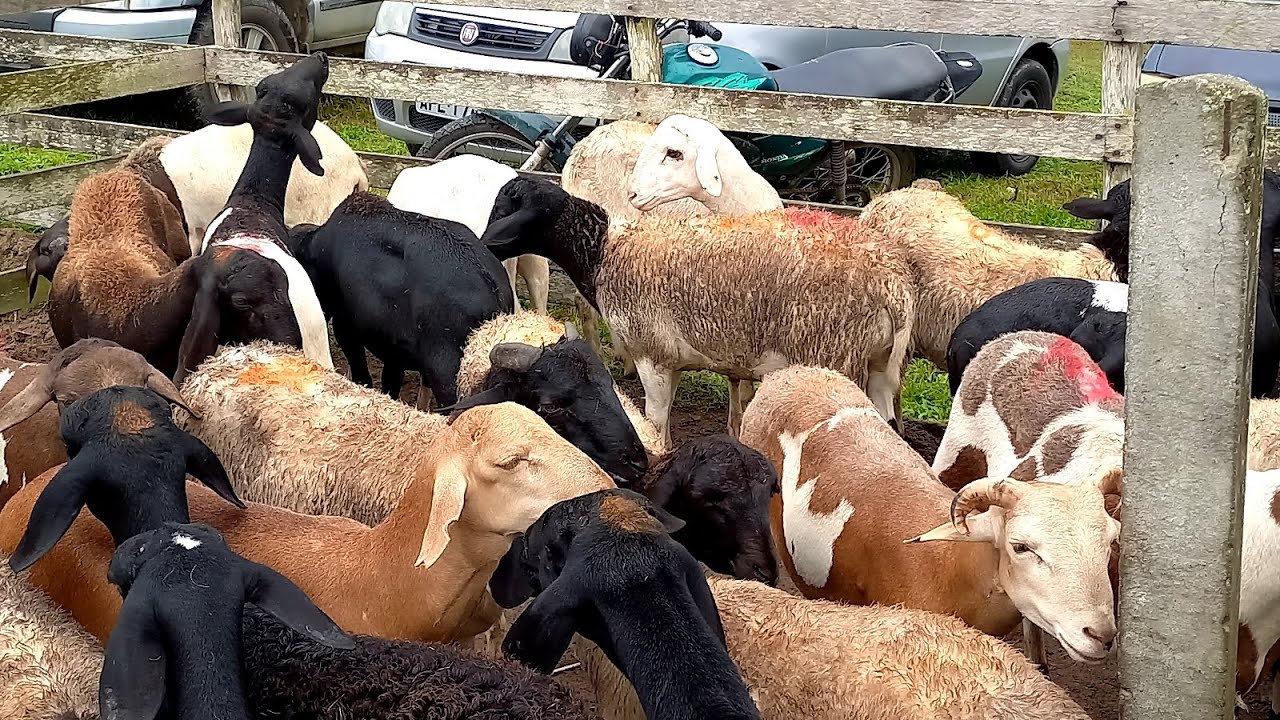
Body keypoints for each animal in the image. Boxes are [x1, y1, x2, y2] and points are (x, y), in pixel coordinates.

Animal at [482, 177, 916, 445]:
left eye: (505, 209)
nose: (483, 243)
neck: (605, 251)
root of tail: (894, 287)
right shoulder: (673, 360)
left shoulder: (652, 355)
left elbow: (656, 419)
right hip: (880, 366)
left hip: (835, 356)